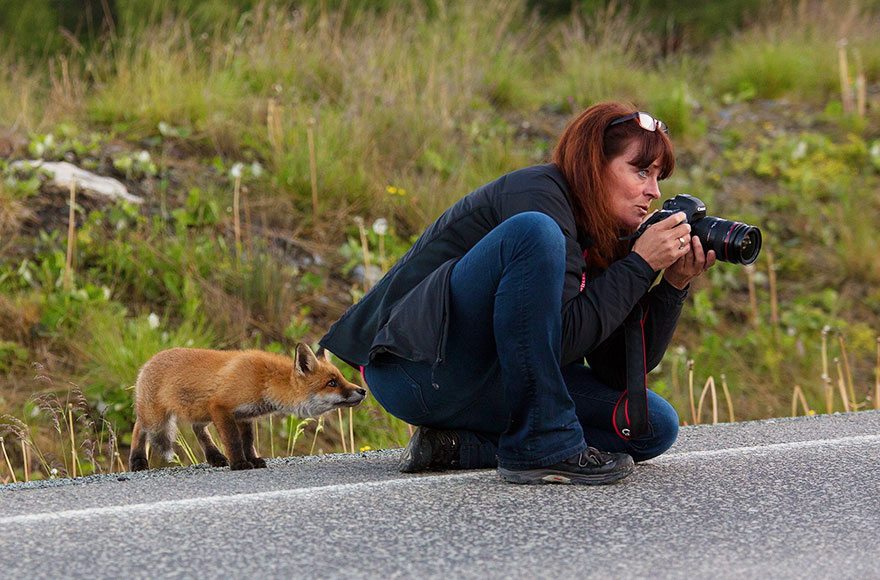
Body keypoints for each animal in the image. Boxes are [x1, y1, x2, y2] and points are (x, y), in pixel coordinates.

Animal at [129, 343, 366, 471]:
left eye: (341, 378)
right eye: (332, 383)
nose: (362, 390)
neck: (263, 381)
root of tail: (149, 360)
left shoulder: (244, 415)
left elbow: (248, 441)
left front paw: (252, 459)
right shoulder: (221, 407)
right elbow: (234, 441)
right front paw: (239, 463)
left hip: (199, 412)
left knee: (199, 430)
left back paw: (215, 457)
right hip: (156, 419)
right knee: (139, 428)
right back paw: (138, 461)